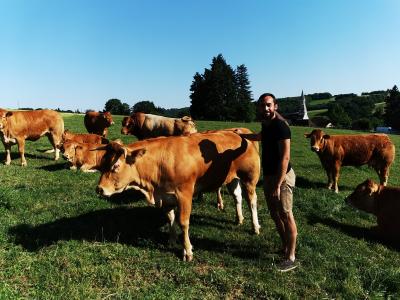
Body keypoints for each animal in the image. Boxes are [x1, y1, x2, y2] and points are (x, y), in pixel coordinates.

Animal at [95, 131, 260, 260]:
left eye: (116, 166)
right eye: (103, 164)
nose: (99, 189)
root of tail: (238, 134)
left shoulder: (184, 194)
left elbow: (183, 222)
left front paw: (187, 250)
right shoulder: (166, 196)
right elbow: (170, 218)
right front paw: (171, 240)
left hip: (249, 179)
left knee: (252, 201)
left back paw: (255, 226)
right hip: (232, 179)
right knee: (237, 197)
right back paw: (239, 218)